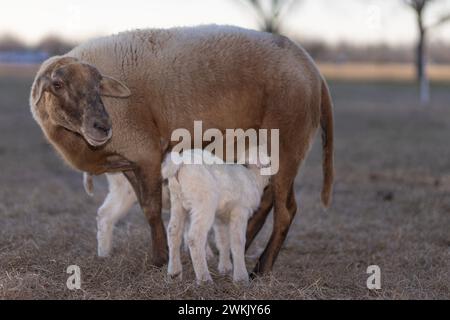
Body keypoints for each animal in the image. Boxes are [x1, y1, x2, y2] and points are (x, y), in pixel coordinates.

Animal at [165, 148, 270, 282]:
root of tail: (181, 161)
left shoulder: (221, 217)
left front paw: (225, 267)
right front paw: (241, 277)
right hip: (204, 202)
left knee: (173, 232)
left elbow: (223, 240)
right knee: (194, 237)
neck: (253, 176)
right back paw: (204, 278)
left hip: (177, 200)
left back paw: (174, 273)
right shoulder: (240, 210)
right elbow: (238, 241)